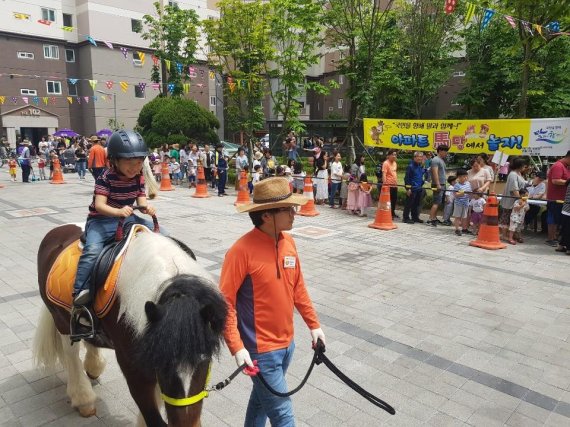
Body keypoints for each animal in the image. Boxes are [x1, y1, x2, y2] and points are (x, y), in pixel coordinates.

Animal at [32, 224, 226, 427]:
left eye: (205, 359)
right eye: (163, 365)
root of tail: (59, 231)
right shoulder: (132, 365)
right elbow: (152, 416)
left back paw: (93, 368)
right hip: (60, 318)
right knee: (71, 354)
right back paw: (84, 400)